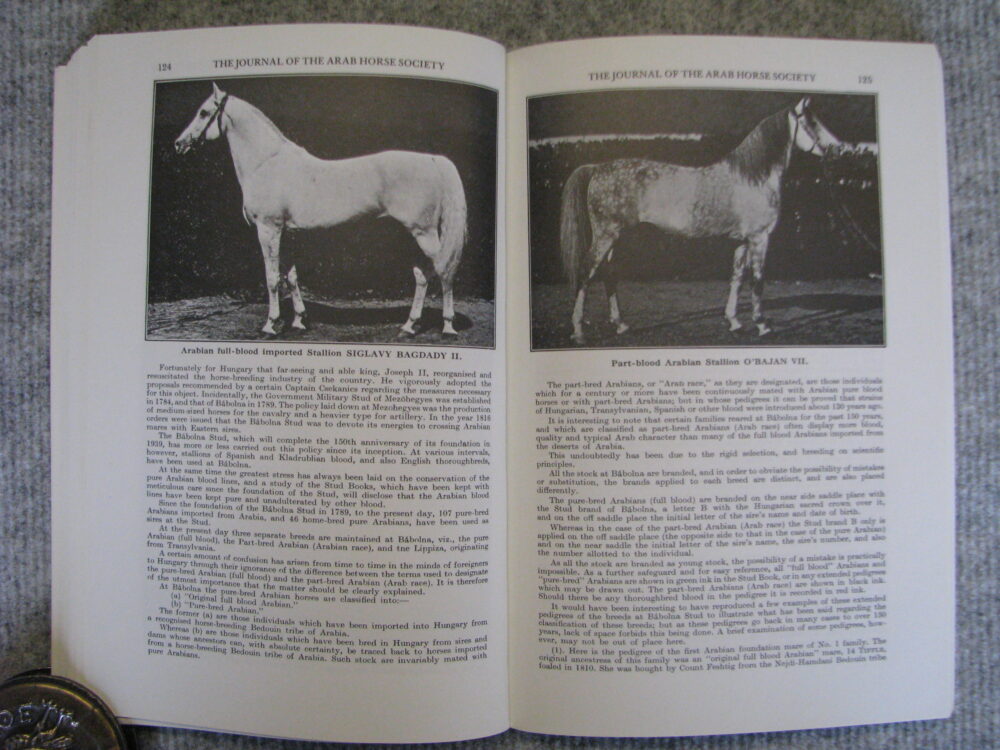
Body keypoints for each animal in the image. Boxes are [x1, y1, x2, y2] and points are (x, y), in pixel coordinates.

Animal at [174, 83, 467, 337]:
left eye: (203, 112)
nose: (179, 143)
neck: (266, 163)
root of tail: (433, 160)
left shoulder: (268, 229)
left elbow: (271, 278)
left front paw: (271, 324)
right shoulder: (287, 233)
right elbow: (290, 277)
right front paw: (298, 321)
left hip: (424, 233)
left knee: (444, 271)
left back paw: (447, 326)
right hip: (413, 235)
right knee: (423, 276)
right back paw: (409, 325)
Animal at [559, 97, 841, 345]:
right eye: (812, 122)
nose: (838, 148)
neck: (753, 177)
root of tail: (597, 168)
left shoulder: (742, 241)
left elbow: (737, 277)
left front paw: (734, 322)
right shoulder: (760, 238)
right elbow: (758, 280)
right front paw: (762, 325)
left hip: (616, 236)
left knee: (609, 274)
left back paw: (620, 325)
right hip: (606, 234)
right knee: (586, 272)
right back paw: (579, 332)